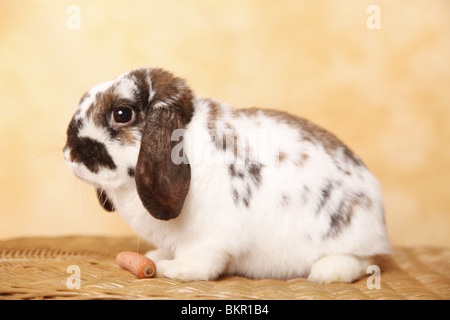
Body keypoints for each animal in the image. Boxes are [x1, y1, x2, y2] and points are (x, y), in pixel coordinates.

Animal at [63, 67, 390, 282]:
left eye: (122, 114)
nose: (69, 154)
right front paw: (157, 258)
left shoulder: (210, 239)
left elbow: (202, 264)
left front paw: (173, 270)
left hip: (351, 236)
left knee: (361, 261)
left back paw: (325, 272)